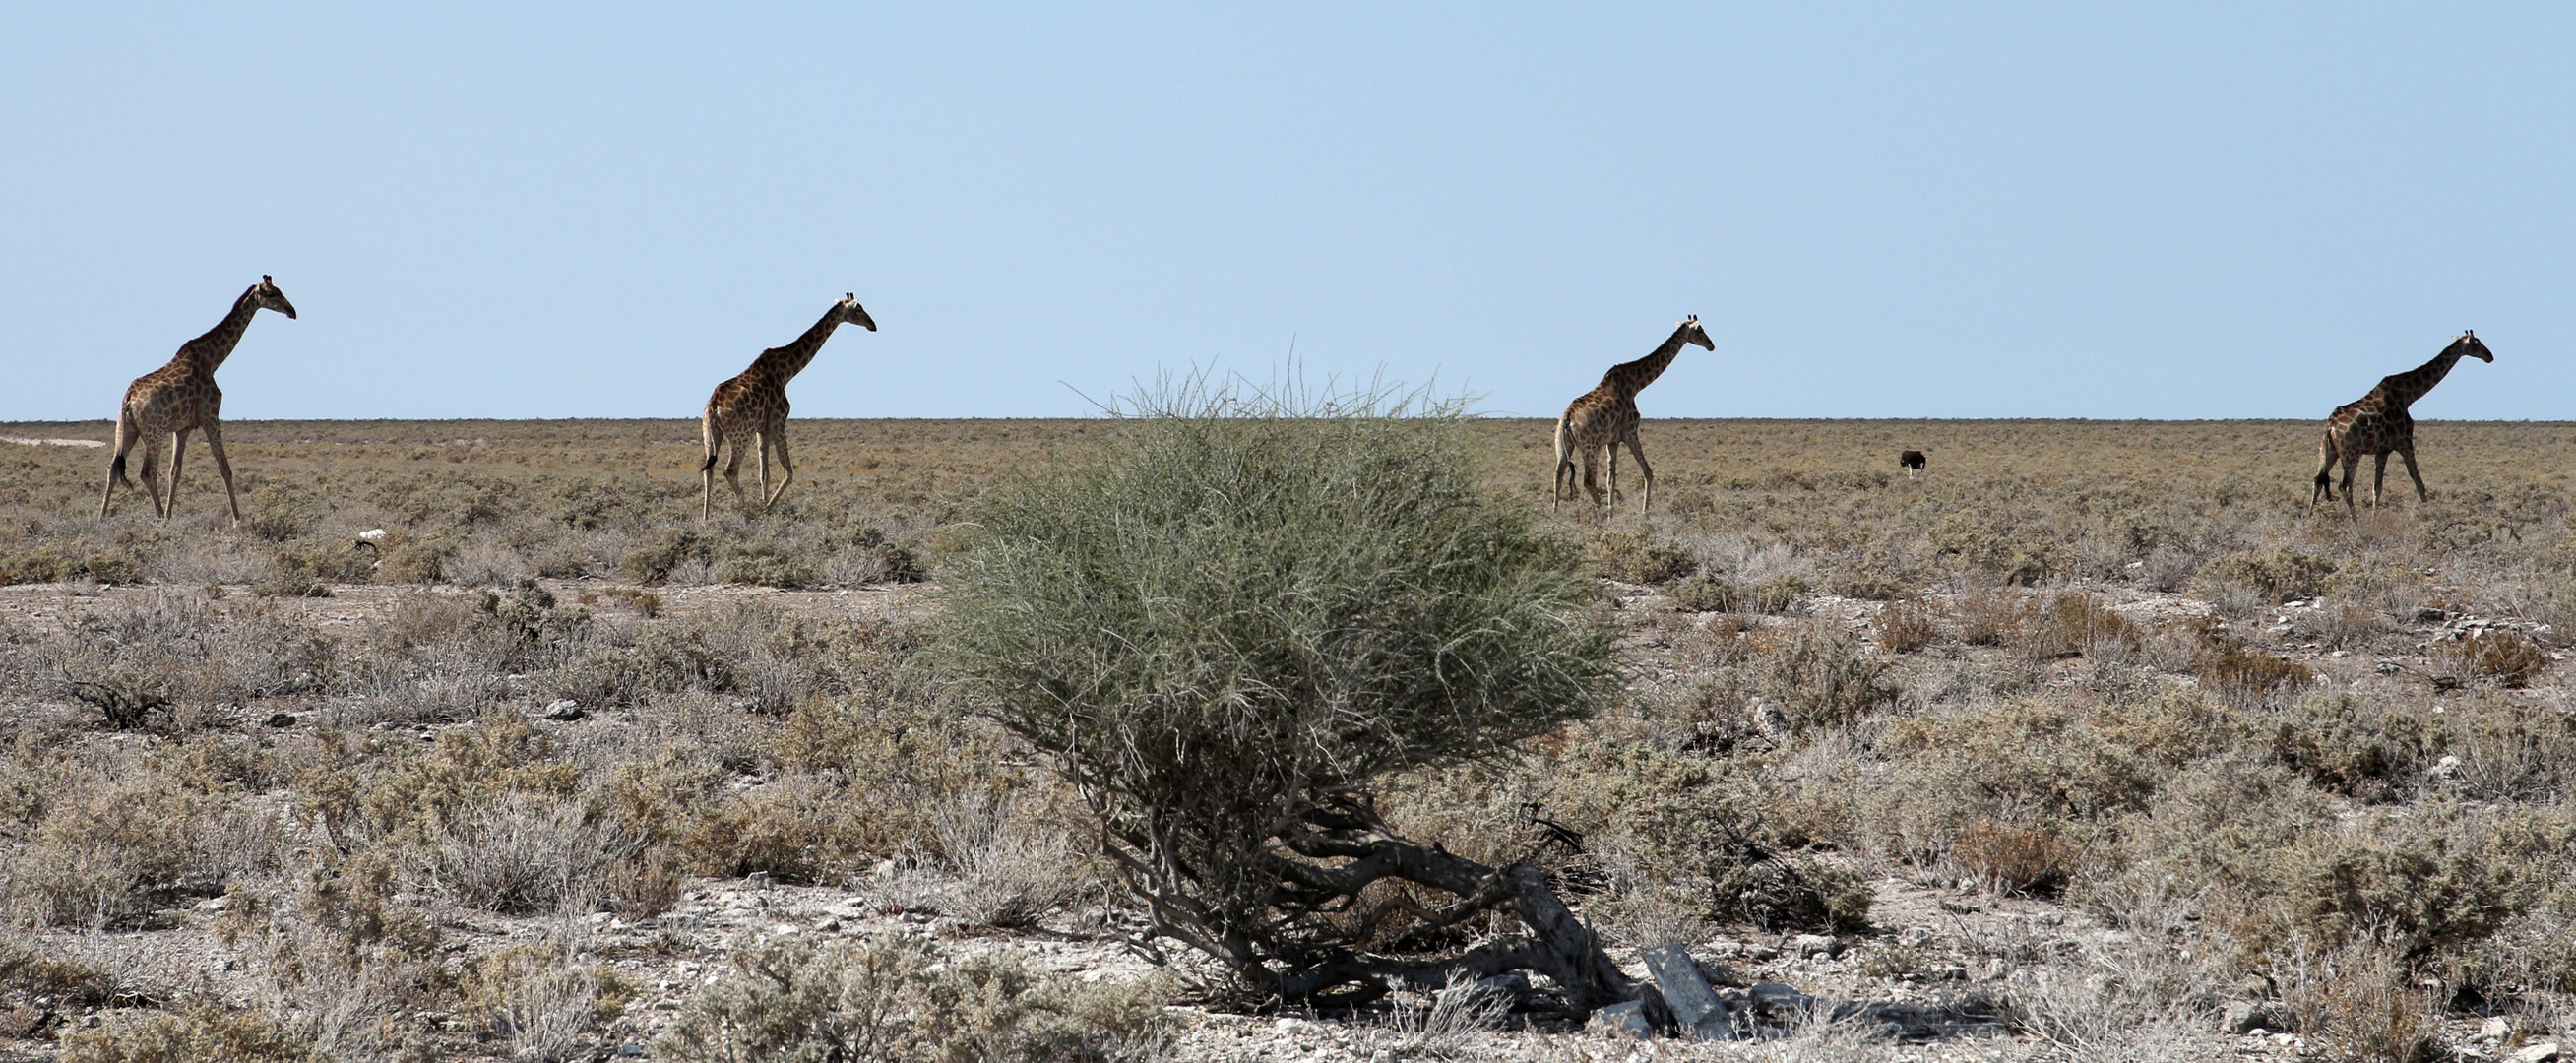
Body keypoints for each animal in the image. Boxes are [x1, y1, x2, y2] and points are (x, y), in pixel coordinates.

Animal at [97, 273, 298, 522]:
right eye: (271, 294)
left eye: (280, 290)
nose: (292, 311)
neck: (213, 360)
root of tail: (129, 397)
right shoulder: (210, 415)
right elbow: (224, 467)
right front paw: (237, 520)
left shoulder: (182, 428)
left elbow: (175, 472)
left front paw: (170, 514)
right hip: (154, 431)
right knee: (147, 472)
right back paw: (158, 518)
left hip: (127, 428)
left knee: (113, 467)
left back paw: (102, 518)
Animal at [700, 291, 881, 520]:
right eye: (858, 308)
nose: (873, 325)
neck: (787, 372)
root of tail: (713, 406)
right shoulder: (778, 420)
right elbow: (789, 473)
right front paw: (766, 509)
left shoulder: (762, 428)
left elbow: (764, 474)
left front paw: (764, 504)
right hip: (741, 435)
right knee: (730, 470)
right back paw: (746, 512)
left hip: (710, 432)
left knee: (709, 471)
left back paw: (706, 519)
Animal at [1545, 312, 1710, 512]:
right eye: (1700, 330)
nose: (1711, 345)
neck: (1636, 384)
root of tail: (1567, 418)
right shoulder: (1630, 432)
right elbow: (1648, 472)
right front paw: (1644, 513)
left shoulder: (1613, 440)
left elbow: (1611, 480)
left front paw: (1612, 513)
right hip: (1590, 447)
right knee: (1588, 481)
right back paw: (1598, 515)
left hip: (1563, 445)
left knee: (1558, 476)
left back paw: (1555, 515)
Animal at [2318, 332, 2493, 515]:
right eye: (2476, 343)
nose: (2490, 356)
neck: (2408, 396)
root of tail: (2330, 426)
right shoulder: (2405, 442)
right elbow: (2418, 482)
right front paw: (2429, 513)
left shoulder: (2383, 450)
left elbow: (2377, 488)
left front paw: (2374, 518)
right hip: (2351, 453)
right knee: (2344, 486)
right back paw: (2355, 520)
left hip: (2328, 451)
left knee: (2317, 481)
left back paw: (2310, 515)